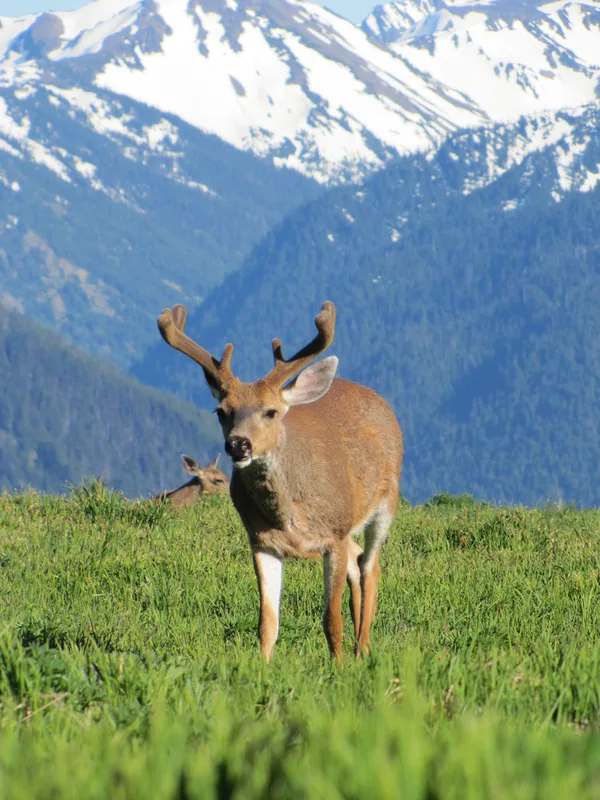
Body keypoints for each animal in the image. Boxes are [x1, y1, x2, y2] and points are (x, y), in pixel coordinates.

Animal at [157, 301, 402, 661]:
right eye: (221, 411)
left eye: (271, 411)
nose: (238, 444)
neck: (289, 514)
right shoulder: (261, 542)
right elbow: (267, 622)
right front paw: (261, 667)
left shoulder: (335, 534)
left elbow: (331, 618)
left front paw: (339, 666)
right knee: (358, 562)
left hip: (385, 501)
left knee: (371, 567)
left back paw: (363, 649)